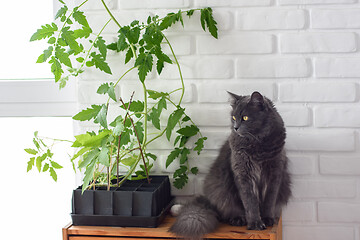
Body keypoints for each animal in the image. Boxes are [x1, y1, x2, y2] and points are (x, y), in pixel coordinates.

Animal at [170, 91, 292, 238]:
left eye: (245, 117)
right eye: (233, 117)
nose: (235, 127)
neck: (257, 143)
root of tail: (208, 200)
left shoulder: (275, 173)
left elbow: (269, 200)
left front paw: (268, 219)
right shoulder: (244, 174)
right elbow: (250, 202)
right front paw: (255, 224)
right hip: (221, 190)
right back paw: (238, 219)